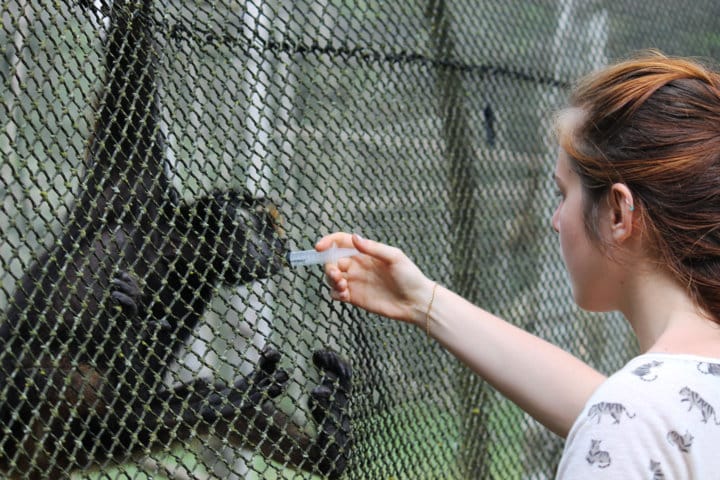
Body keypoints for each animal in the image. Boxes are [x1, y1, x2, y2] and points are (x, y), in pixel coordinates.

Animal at [0, 1, 352, 478]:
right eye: (267, 225)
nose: (282, 247)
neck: (173, 247)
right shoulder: (132, 188)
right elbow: (130, 53)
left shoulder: (193, 287)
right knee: (51, 373)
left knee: (112, 411)